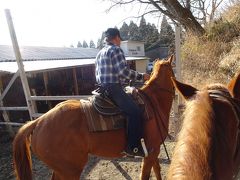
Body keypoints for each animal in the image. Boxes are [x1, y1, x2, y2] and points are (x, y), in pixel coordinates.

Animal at [12, 55, 174, 179]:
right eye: (173, 71)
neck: (154, 101)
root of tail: (39, 121)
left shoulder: (154, 151)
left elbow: (157, 170)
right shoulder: (150, 152)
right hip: (71, 171)